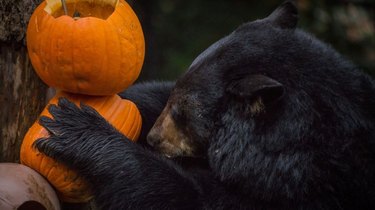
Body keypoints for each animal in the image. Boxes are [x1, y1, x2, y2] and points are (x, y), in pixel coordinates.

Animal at [35, 2, 375, 210]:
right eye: (173, 101)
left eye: (182, 113)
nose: (152, 139)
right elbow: (148, 95)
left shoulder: (300, 187)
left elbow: (185, 197)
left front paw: (74, 127)